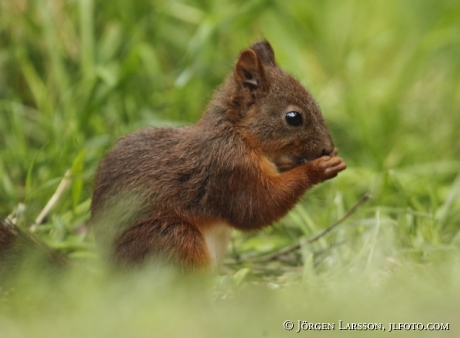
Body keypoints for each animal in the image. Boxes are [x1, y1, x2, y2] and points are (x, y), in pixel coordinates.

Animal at [0, 39, 344, 274]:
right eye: (293, 117)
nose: (328, 147)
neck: (237, 134)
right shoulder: (228, 170)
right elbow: (255, 208)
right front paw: (319, 168)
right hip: (171, 239)